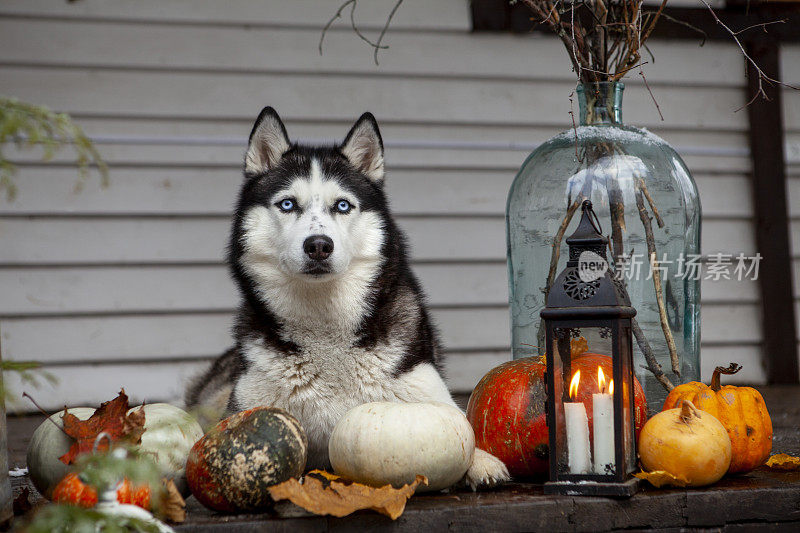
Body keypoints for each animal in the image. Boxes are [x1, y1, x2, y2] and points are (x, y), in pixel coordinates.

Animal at [188, 109, 510, 490]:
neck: (324, 325)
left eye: (342, 206)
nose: (318, 245)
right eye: (287, 204)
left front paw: (481, 461)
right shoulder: (245, 407)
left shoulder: (428, 393)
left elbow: (463, 432)